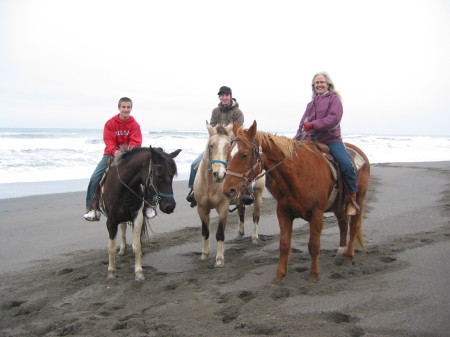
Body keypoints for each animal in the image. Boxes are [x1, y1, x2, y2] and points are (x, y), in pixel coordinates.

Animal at [101, 146, 181, 280]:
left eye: (172, 175)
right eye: (158, 175)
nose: (170, 206)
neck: (123, 189)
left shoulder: (137, 218)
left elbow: (137, 245)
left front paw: (139, 272)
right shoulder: (111, 221)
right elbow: (111, 247)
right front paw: (111, 272)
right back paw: (122, 250)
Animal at [192, 122, 264, 266]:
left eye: (229, 145)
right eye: (211, 145)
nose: (219, 174)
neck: (210, 185)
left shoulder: (223, 208)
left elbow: (220, 233)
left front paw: (219, 259)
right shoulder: (201, 208)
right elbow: (205, 231)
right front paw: (204, 254)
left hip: (258, 196)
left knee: (256, 216)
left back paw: (254, 238)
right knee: (241, 212)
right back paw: (240, 234)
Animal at [223, 119, 370, 282]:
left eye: (244, 155)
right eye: (228, 153)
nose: (228, 189)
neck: (298, 174)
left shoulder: (316, 213)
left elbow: (314, 245)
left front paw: (313, 274)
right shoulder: (283, 211)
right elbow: (284, 245)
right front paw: (279, 276)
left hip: (359, 200)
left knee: (354, 226)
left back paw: (348, 257)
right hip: (338, 206)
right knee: (343, 224)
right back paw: (341, 250)